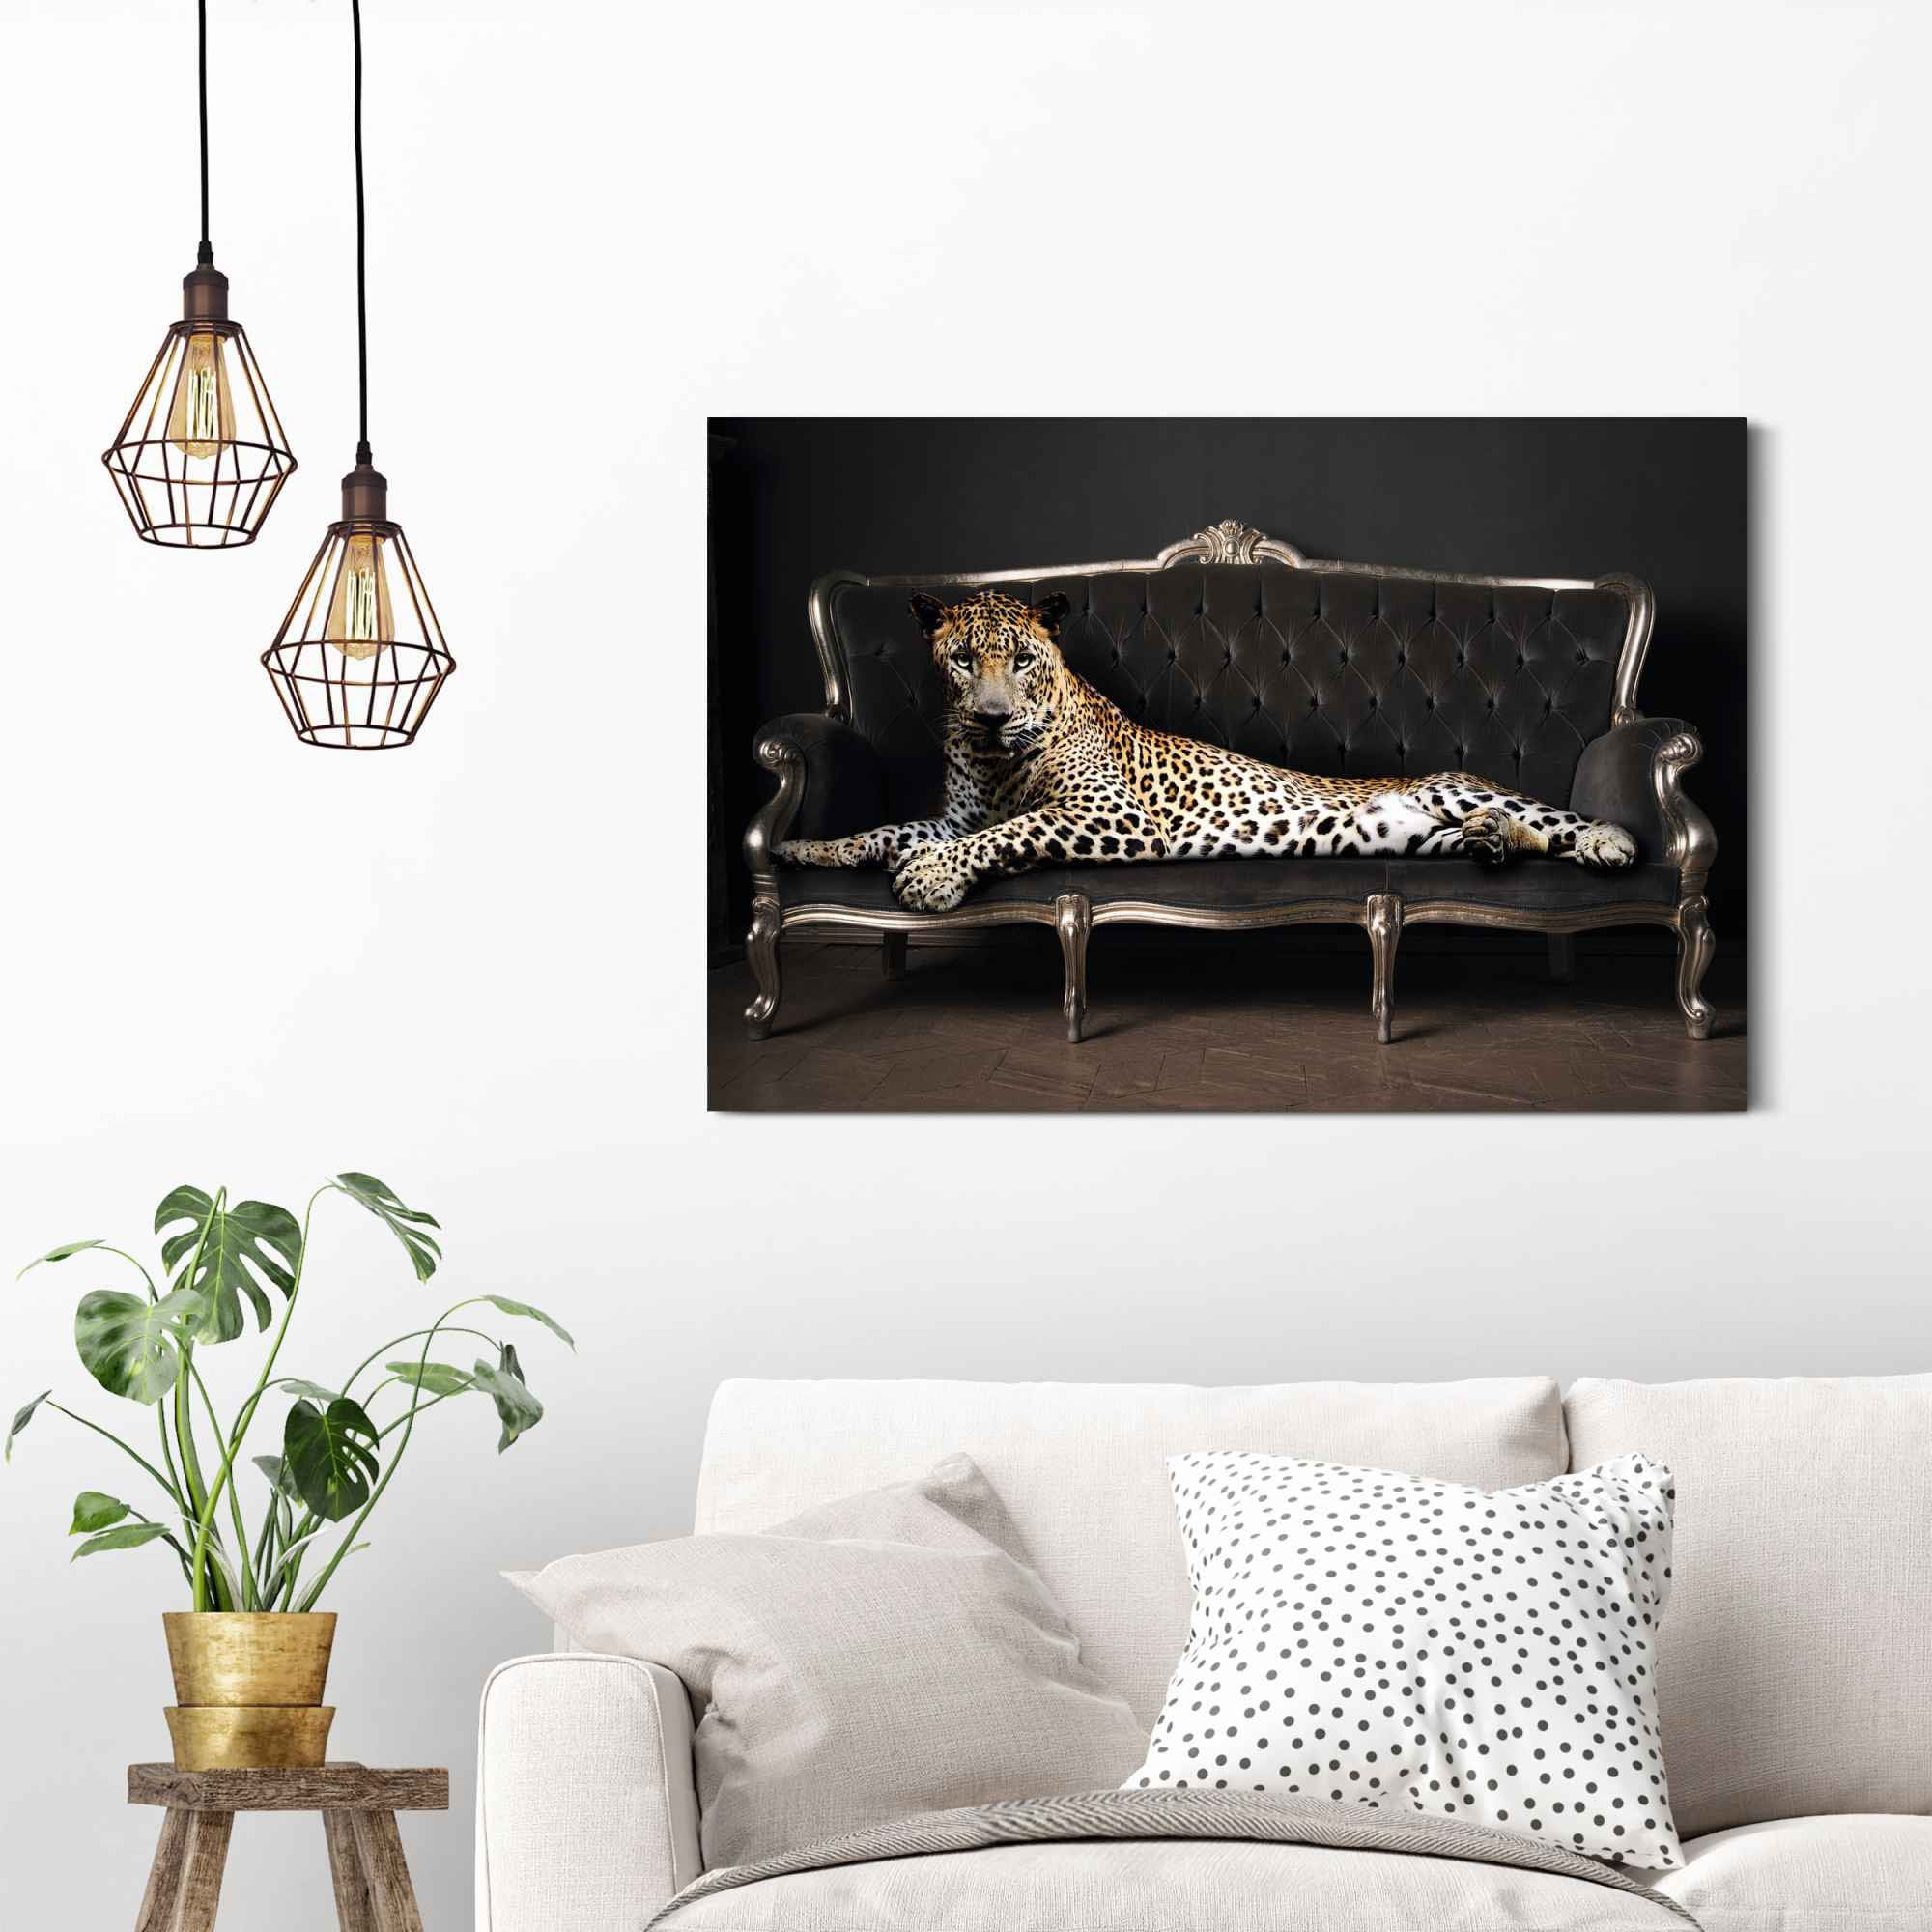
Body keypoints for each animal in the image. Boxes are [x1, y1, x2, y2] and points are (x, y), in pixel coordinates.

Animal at [777, 589, 1638, 914]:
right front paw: (810, 849)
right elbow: (890, 828)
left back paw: (1605, 841)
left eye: (1021, 660)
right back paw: (1495, 844)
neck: (995, 761)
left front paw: (929, 878)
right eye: (963, 660)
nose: (991, 718)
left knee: (1554, 821)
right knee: (1506, 837)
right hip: (1420, 834)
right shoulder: (955, 816)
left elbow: (1013, 832)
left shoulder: (1112, 814)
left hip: (1456, 789)